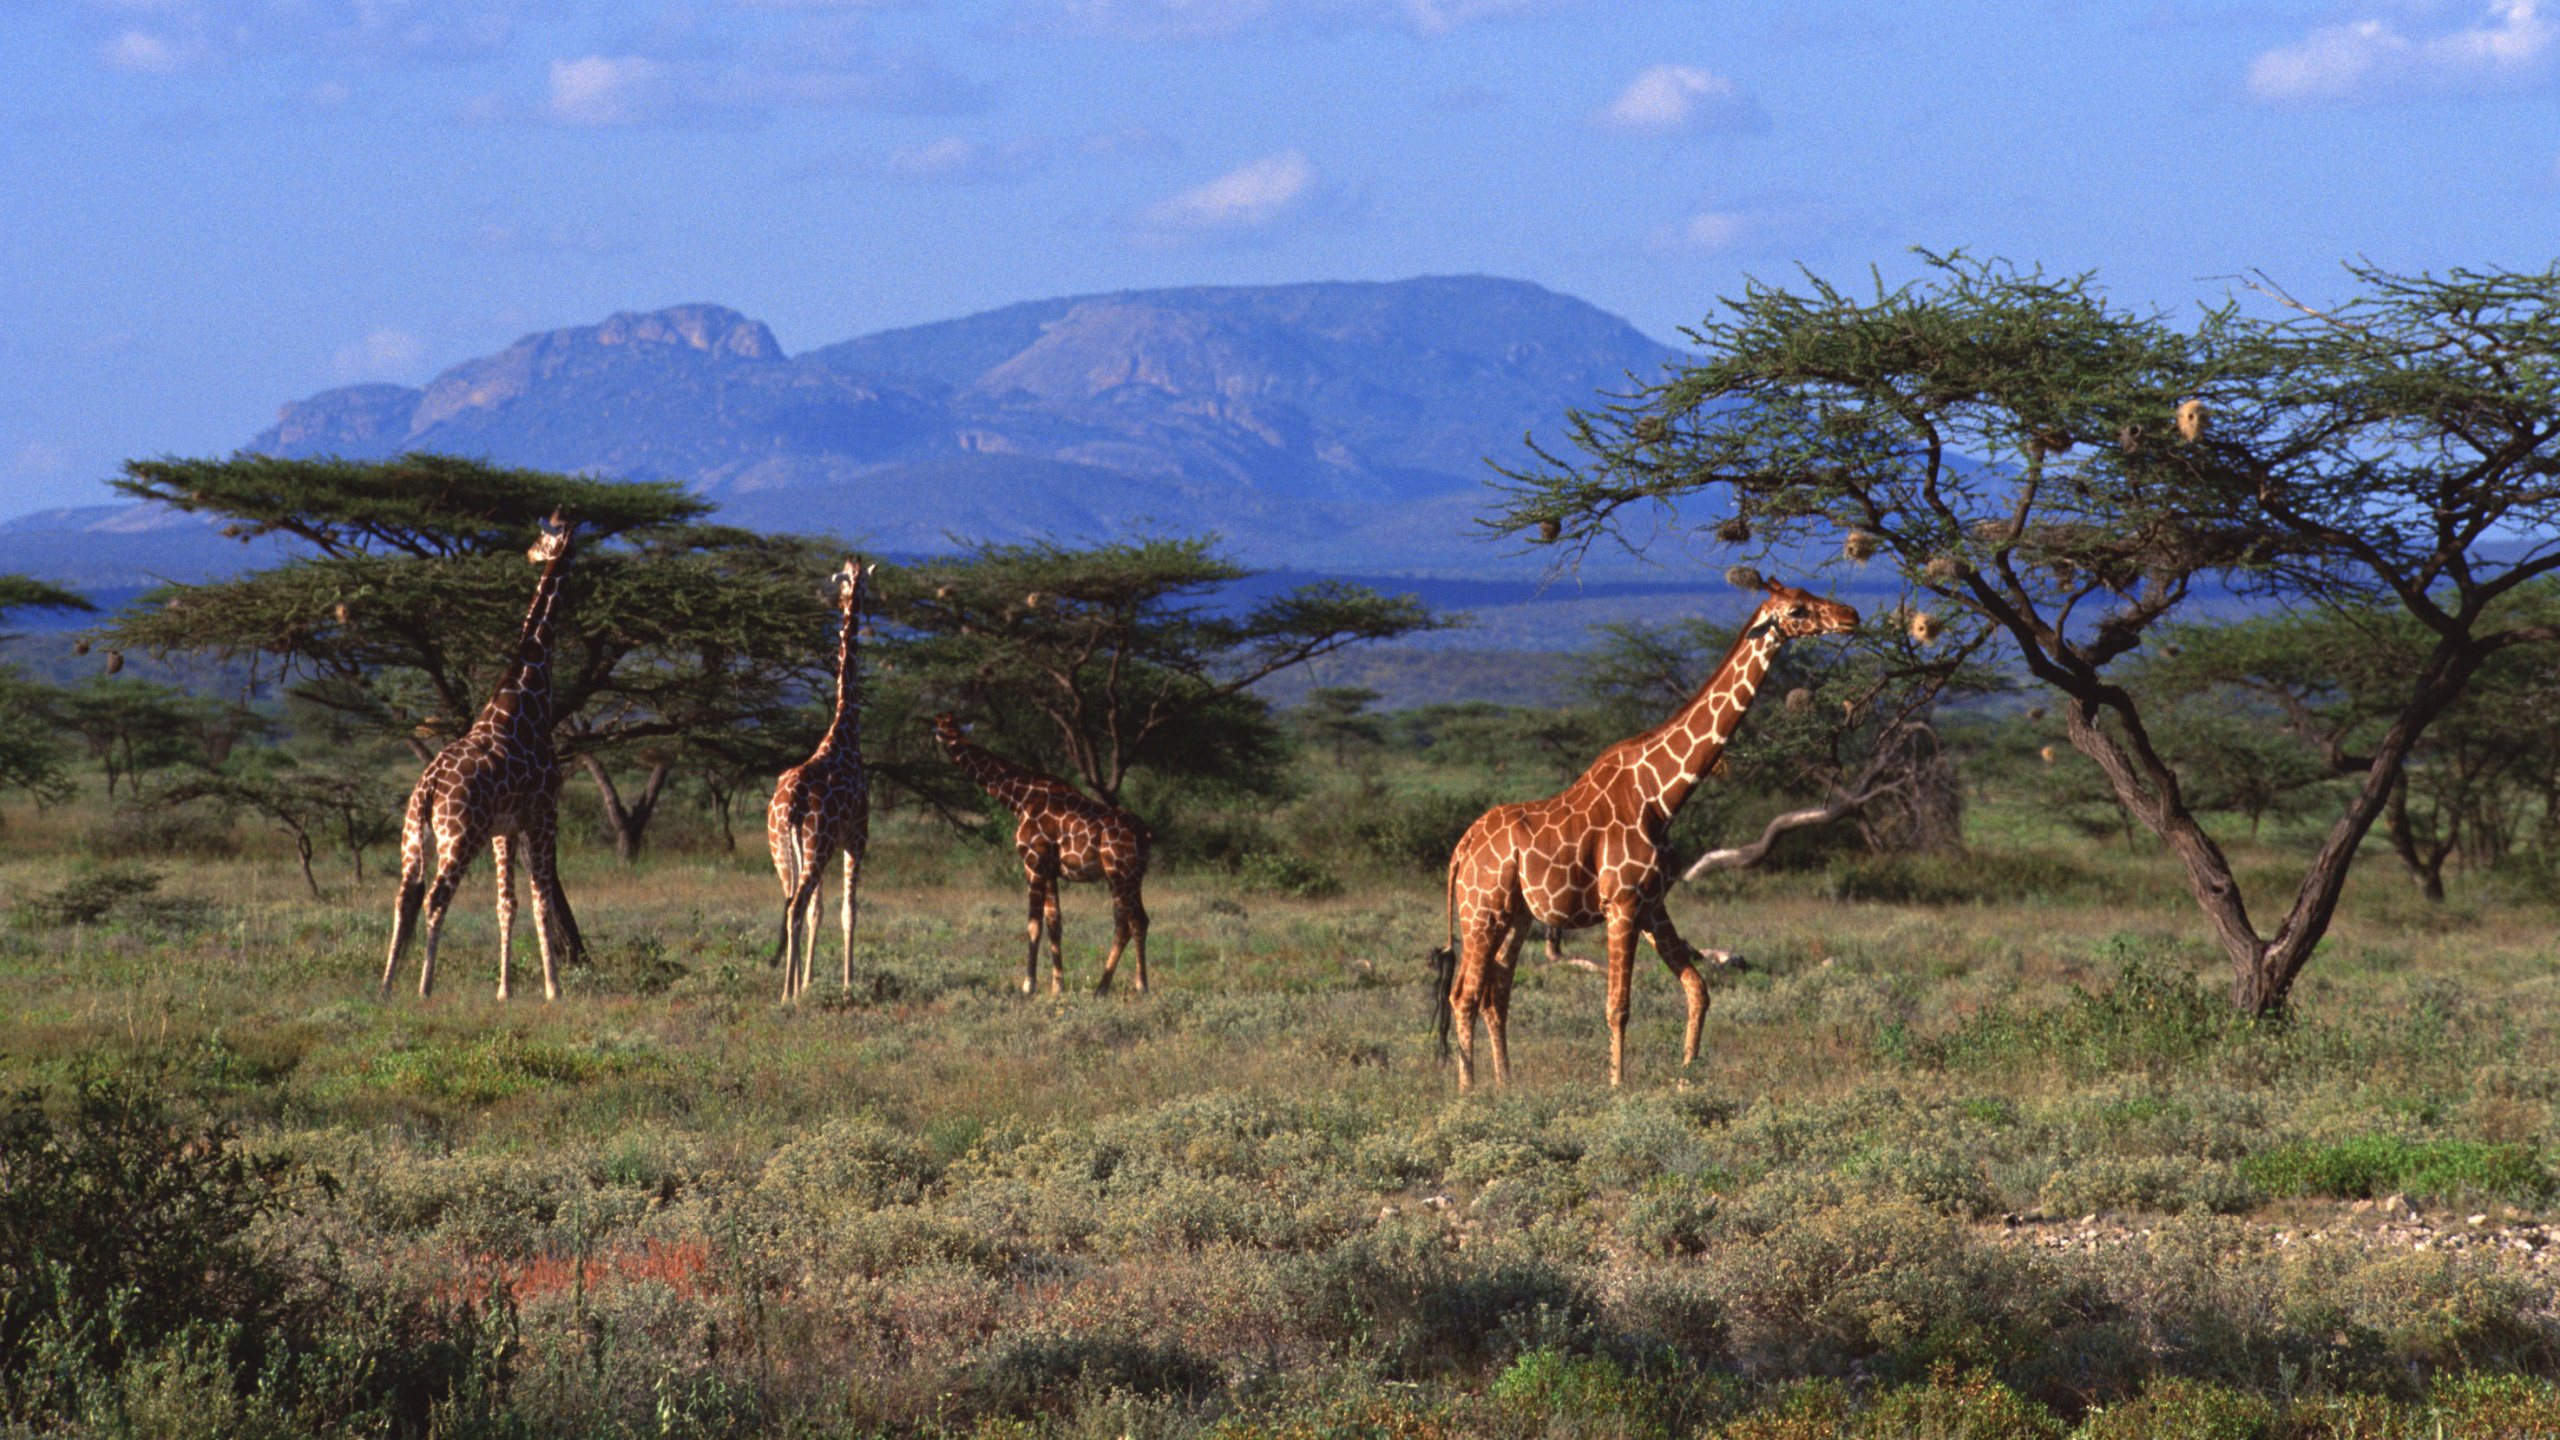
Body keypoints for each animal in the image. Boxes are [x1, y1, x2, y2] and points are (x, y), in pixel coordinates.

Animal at [378, 512, 581, 999]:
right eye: (546, 533)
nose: (530, 552)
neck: (526, 694)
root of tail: (429, 786)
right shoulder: (544, 814)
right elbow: (542, 900)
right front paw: (553, 990)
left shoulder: (504, 829)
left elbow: (507, 904)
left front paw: (504, 991)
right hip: (460, 836)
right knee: (435, 898)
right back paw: (424, 987)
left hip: (413, 836)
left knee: (403, 898)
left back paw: (387, 987)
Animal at [762, 556, 875, 1004]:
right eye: (855, 584)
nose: (855, 597)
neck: (846, 728)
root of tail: (790, 803)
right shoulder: (856, 836)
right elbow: (848, 911)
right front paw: (846, 982)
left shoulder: (830, 846)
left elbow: (819, 912)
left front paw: (809, 981)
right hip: (817, 843)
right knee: (797, 905)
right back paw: (786, 995)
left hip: (782, 848)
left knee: (792, 902)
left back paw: (790, 989)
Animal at [931, 712, 1152, 994]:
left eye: (946, 731)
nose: (950, 746)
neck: (1019, 798)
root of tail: (1146, 834)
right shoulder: (1050, 869)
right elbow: (1054, 923)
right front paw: (1057, 986)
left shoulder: (1033, 861)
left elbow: (1033, 925)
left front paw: (1029, 984)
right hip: (1120, 877)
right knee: (1122, 925)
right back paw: (1101, 989)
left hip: (1123, 872)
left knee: (1138, 921)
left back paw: (1142, 986)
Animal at [1423, 576, 1863, 1081]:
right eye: (1796, 610)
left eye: (1808, 593)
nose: (1851, 615)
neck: (1662, 796)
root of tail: (1462, 847)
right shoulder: (1623, 902)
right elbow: (1618, 1006)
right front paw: (1618, 1086)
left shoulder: (1653, 904)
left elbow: (1698, 990)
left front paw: (1687, 1077)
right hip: (1482, 910)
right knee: (1463, 995)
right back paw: (1470, 1091)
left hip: (1516, 915)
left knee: (1496, 993)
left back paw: (1507, 1085)